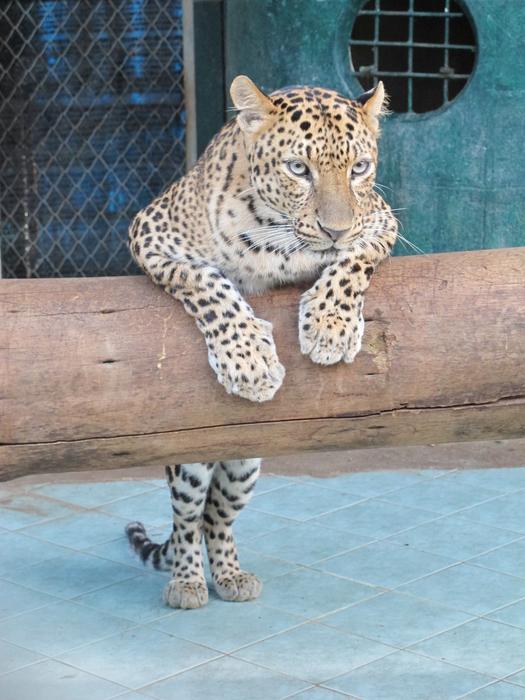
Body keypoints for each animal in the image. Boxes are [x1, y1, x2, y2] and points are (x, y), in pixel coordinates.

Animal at [126, 72, 398, 608]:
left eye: (359, 168)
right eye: (298, 168)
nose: (334, 230)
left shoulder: (380, 218)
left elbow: (356, 258)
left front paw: (331, 325)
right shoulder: (150, 233)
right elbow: (206, 280)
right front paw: (248, 361)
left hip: (244, 467)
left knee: (216, 519)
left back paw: (231, 576)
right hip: (190, 464)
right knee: (187, 520)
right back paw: (188, 583)